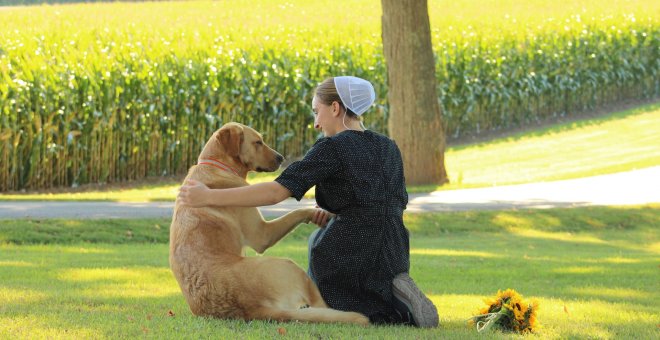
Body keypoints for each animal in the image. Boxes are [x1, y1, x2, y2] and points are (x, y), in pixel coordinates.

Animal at [170, 123, 368, 326]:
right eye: (258, 142)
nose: (281, 158)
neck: (217, 165)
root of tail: (252, 309)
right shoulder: (262, 234)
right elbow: (297, 211)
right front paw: (319, 213)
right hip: (289, 264)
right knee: (321, 305)